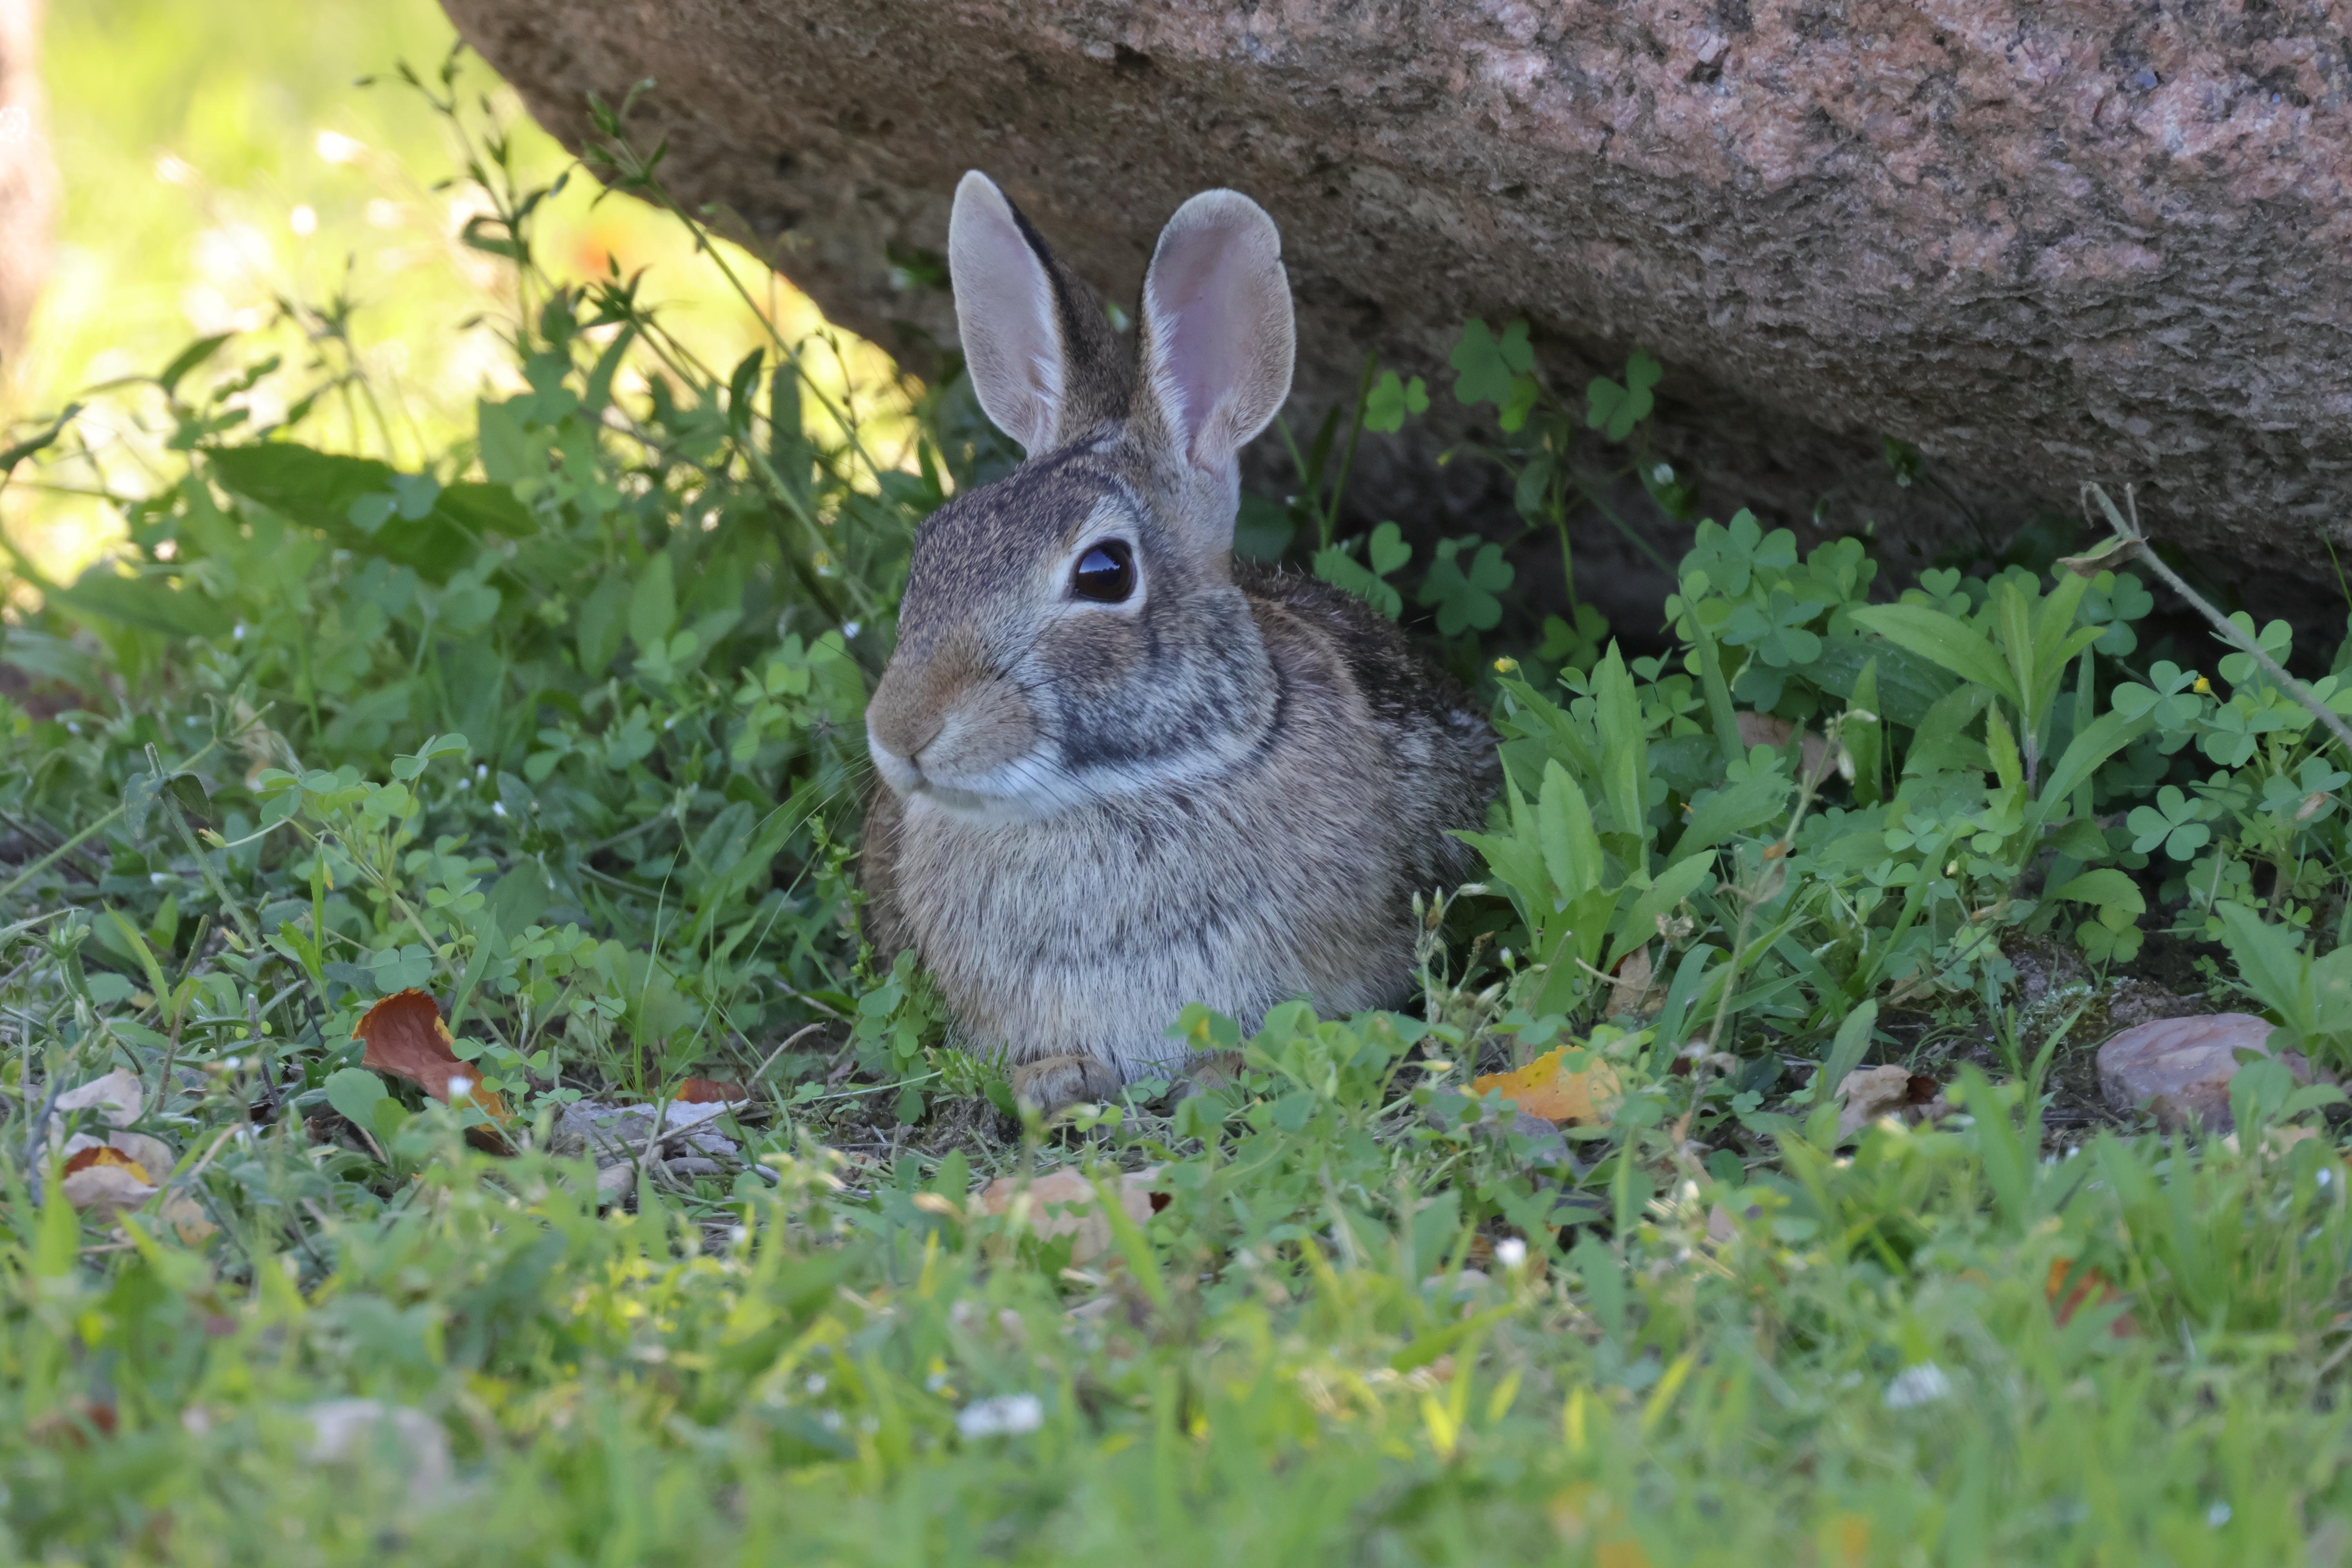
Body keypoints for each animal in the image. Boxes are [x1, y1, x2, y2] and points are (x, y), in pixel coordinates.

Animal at [861, 171, 1499, 1113]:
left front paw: (1221, 1076)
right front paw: (1054, 1080)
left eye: (1103, 572)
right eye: (936, 541)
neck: (1115, 790)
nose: (901, 733)